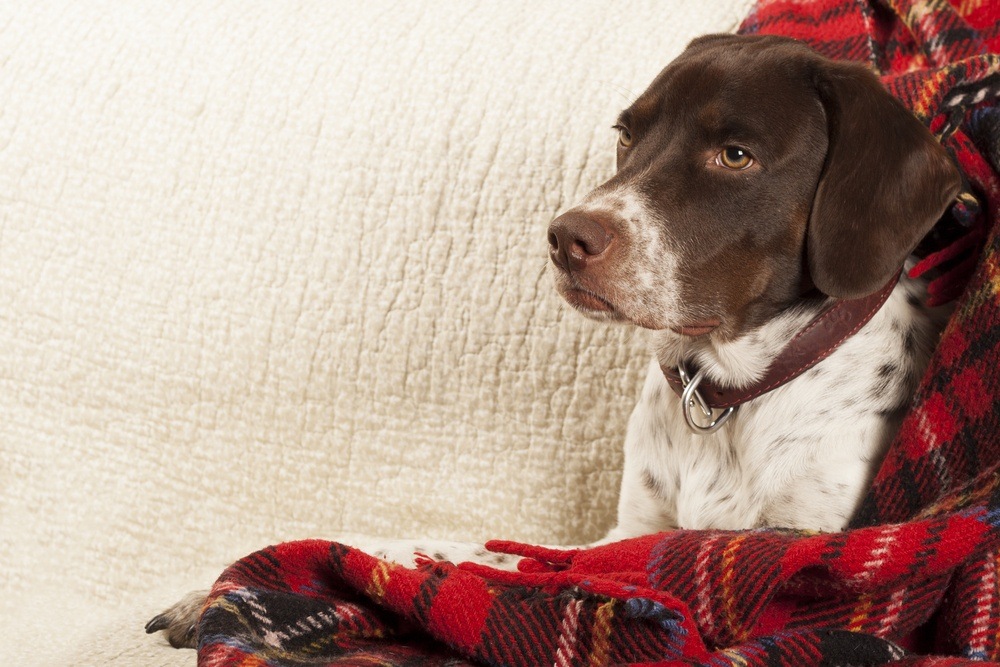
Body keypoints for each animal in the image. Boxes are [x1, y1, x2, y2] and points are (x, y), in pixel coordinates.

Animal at [146, 34, 960, 648]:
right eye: (627, 134)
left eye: (736, 155)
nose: (567, 237)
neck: (731, 395)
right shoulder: (632, 531)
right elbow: (467, 553)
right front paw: (224, 585)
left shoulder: (803, 544)